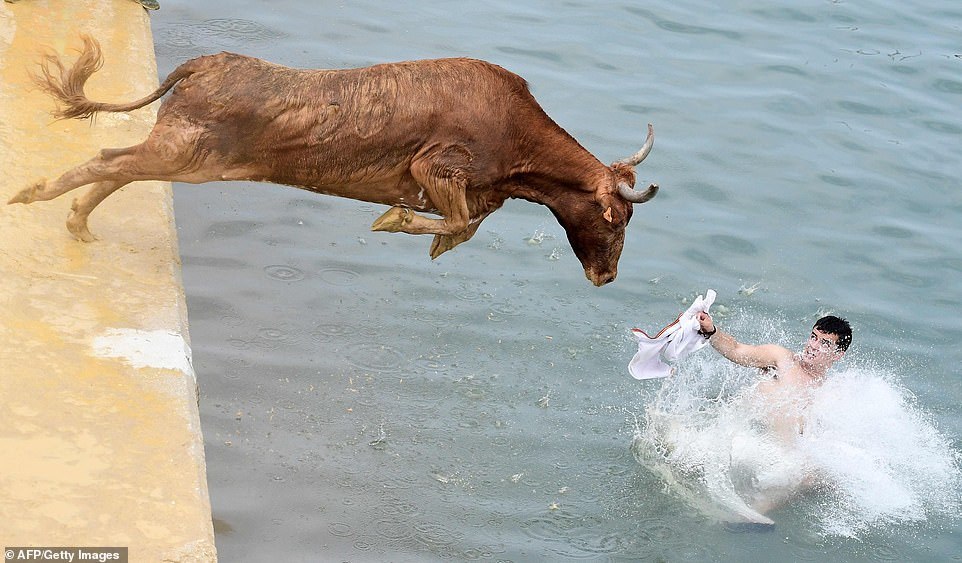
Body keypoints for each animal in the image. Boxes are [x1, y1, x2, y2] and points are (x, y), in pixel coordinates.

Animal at [7, 35, 656, 286]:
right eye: (616, 219)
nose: (607, 275)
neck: (521, 155)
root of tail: (202, 65)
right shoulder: (436, 170)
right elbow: (456, 220)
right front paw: (394, 219)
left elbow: (465, 225)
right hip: (185, 150)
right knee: (110, 159)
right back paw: (38, 197)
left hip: (184, 156)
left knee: (118, 163)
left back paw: (74, 220)